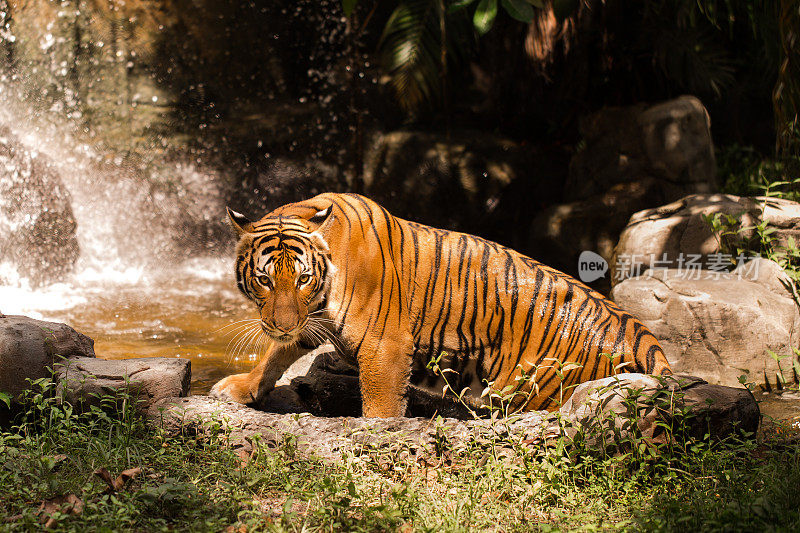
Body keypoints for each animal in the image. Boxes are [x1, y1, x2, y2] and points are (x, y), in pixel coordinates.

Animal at [209, 191, 672, 416]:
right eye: (265, 280)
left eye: (303, 278)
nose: (284, 324)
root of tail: (644, 336)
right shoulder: (308, 319)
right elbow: (277, 353)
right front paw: (242, 387)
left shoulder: (384, 346)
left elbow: (380, 409)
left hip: (538, 391)